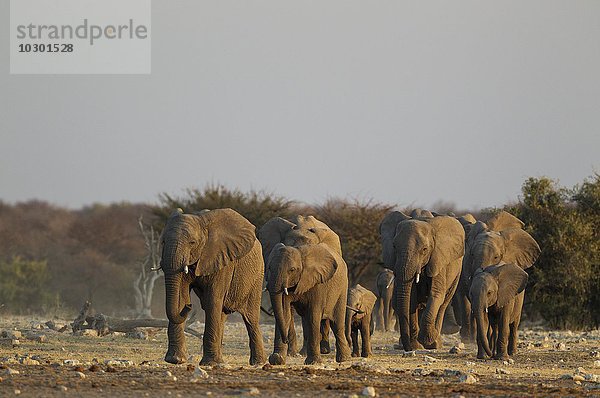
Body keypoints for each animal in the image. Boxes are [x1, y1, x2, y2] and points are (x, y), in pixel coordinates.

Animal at [159, 208, 264, 366]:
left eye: (192, 242)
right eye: (163, 242)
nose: (190, 306)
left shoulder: (223, 260)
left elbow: (212, 300)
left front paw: (209, 364)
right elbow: (180, 299)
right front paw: (175, 360)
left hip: (257, 276)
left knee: (251, 318)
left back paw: (258, 363)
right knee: (222, 314)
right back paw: (221, 360)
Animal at [380, 210, 464, 350]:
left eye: (425, 249)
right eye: (394, 246)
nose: (408, 349)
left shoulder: (438, 260)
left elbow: (436, 294)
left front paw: (428, 342)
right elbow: (411, 299)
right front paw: (416, 346)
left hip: (457, 274)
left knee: (443, 304)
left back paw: (436, 342)